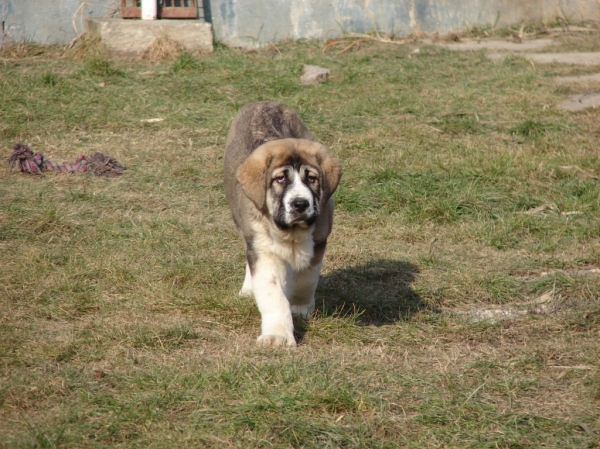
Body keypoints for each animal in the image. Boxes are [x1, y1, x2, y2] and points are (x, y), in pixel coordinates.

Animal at [223, 101, 342, 346]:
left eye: (312, 179)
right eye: (280, 179)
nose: (300, 204)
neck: (291, 232)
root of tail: (264, 102)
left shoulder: (319, 242)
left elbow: (306, 280)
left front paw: (299, 307)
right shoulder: (263, 251)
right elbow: (273, 297)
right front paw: (277, 336)